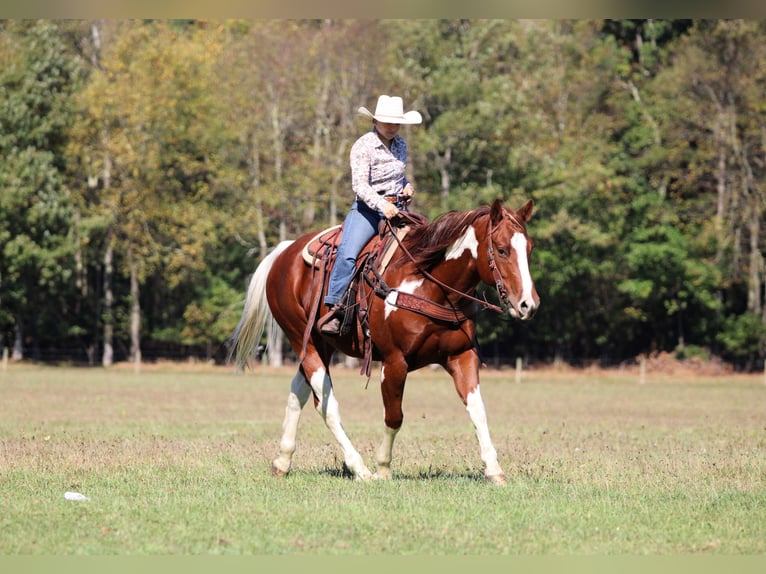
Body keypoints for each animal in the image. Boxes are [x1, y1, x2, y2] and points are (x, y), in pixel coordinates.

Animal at [228, 198, 539, 485]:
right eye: (502, 249)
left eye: (529, 248)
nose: (528, 304)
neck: (430, 284)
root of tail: (286, 251)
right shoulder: (394, 362)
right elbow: (394, 416)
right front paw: (383, 468)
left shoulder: (462, 356)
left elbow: (478, 411)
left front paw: (494, 470)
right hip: (302, 340)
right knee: (327, 406)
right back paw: (359, 468)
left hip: (321, 345)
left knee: (299, 394)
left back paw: (282, 462)